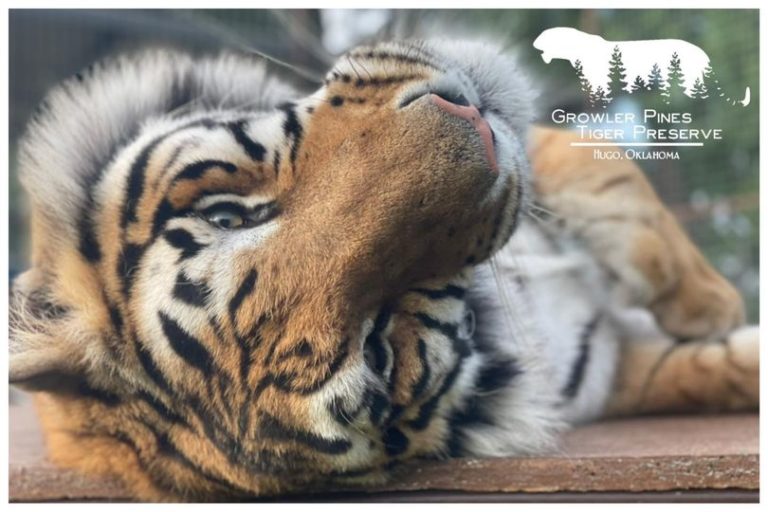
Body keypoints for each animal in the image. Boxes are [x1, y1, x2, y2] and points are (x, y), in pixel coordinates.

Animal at [9, 39, 758, 501]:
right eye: (378, 347)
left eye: (228, 217)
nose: (475, 130)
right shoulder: (603, 371)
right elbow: (705, 372)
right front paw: (718, 318)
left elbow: (596, 167)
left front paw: (707, 301)